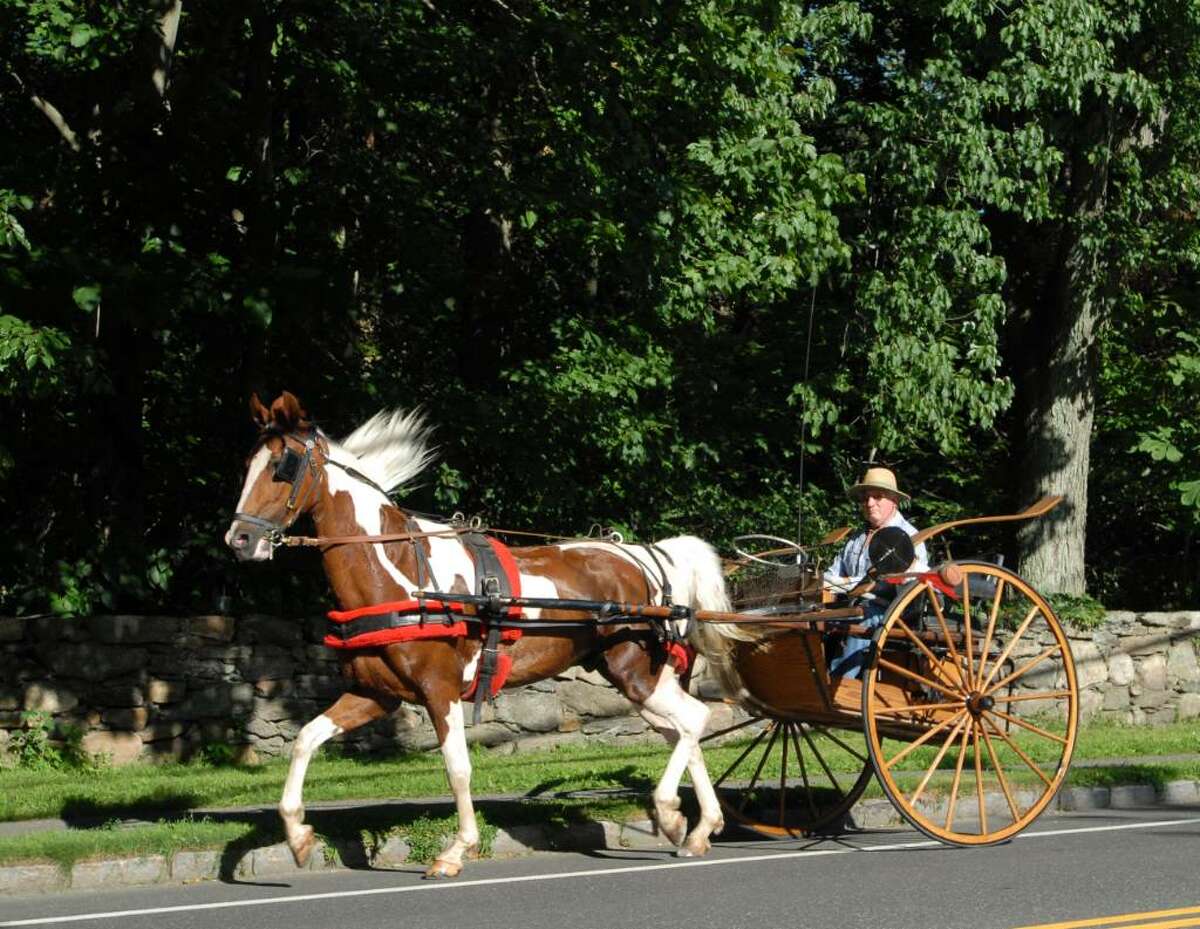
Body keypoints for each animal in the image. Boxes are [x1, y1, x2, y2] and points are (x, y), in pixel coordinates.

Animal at [225, 393, 729, 878]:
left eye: (282, 466)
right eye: (246, 464)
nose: (239, 540)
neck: (404, 578)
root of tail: (647, 556)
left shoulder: (439, 689)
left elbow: (457, 768)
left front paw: (456, 850)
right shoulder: (375, 693)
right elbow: (305, 739)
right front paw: (297, 836)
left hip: (637, 673)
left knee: (695, 718)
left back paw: (670, 811)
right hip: (639, 679)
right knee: (681, 730)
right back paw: (699, 827)